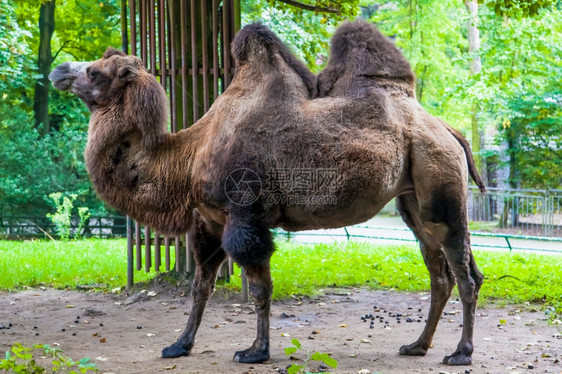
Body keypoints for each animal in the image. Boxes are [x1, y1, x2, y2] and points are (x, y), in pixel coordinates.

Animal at [49, 20, 482, 366]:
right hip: (413, 201)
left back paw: (459, 353)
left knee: (465, 273)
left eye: (95, 71)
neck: (188, 157)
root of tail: (449, 129)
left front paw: (255, 351)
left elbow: (259, 288)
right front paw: (179, 345)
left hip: (441, 182)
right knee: (439, 272)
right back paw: (417, 346)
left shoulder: (245, 217)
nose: (59, 69)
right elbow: (200, 287)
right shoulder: (209, 221)